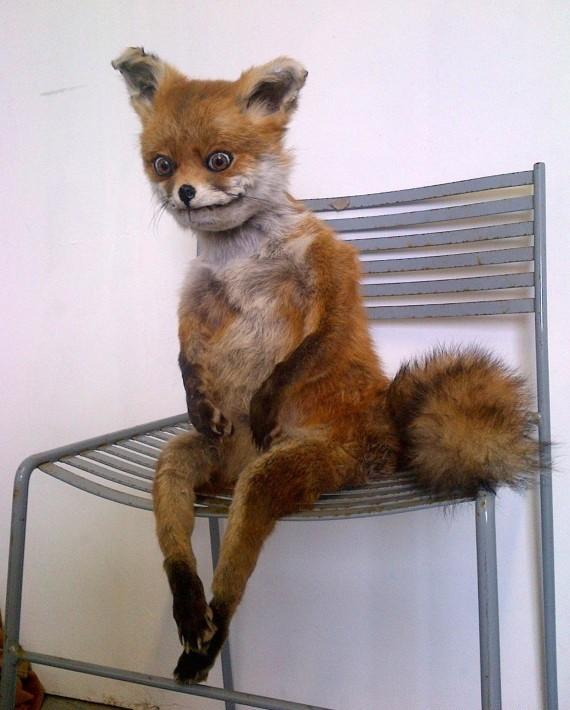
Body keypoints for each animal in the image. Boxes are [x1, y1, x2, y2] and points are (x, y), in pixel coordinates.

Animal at [112, 47, 538, 684]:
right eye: (162, 164)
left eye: (219, 160)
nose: (184, 193)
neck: (240, 261)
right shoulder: (196, 302)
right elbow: (185, 354)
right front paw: (196, 394)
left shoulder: (331, 279)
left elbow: (305, 352)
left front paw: (264, 397)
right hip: (183, 461)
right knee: (176, 538)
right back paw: (189, 613)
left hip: (281, 472)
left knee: (236, 567)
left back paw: (213, 628)